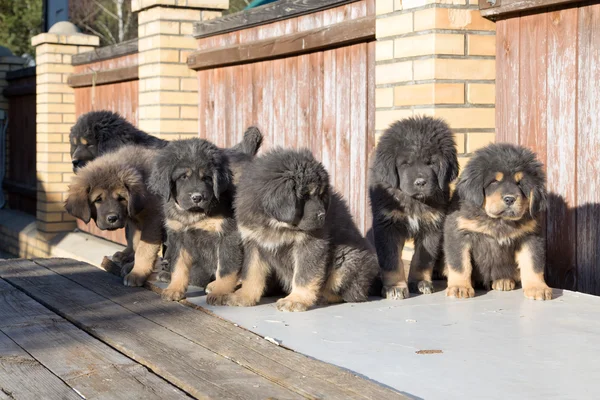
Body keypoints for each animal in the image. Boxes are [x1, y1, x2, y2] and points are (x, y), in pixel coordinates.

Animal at [65, 145, 163, 286]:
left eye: (121, 198)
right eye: (98, 199)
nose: (112, 218)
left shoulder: (153, 220)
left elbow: (144, 250)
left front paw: (137, 273)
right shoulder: (136, 221)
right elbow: (136, 243)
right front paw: (132, 265)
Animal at [149, 138, 244, 300]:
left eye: (206, 178)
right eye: (183, 177)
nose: (197, 197)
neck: (193, 215)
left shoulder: (228, 235)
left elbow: (225, 267)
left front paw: (220, 290)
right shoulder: (179, 237)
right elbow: (179, 266)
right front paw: (174, 289)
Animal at [217, 148, 380, 312]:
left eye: (321, 195)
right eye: (305, 195)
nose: (322, 216)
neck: (276, 224)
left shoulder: (310, 244)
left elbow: (304, 274)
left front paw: (296, 300)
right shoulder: (253, 243)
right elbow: (251, 273)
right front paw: (243, 296)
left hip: (348, 258)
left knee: (350, 294)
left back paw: (322, 296)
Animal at [368, 114, 458, 298]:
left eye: (431, 163)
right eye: (406, 164)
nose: (420, 182)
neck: (413, 201)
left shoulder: (432, 226)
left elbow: (422, 259)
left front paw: (420, 283)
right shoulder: (387, 226)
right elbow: (392, 260)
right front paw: (395, 287)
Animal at [442, 144, 552, 300]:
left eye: (520, 184)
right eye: (494, 181)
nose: (510, 199)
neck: (499, 221)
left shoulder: (530, 236)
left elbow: (533, 263)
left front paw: (538, 288)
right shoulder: (458, 233)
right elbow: (460, 264)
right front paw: (459, 287)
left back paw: (504, 280)